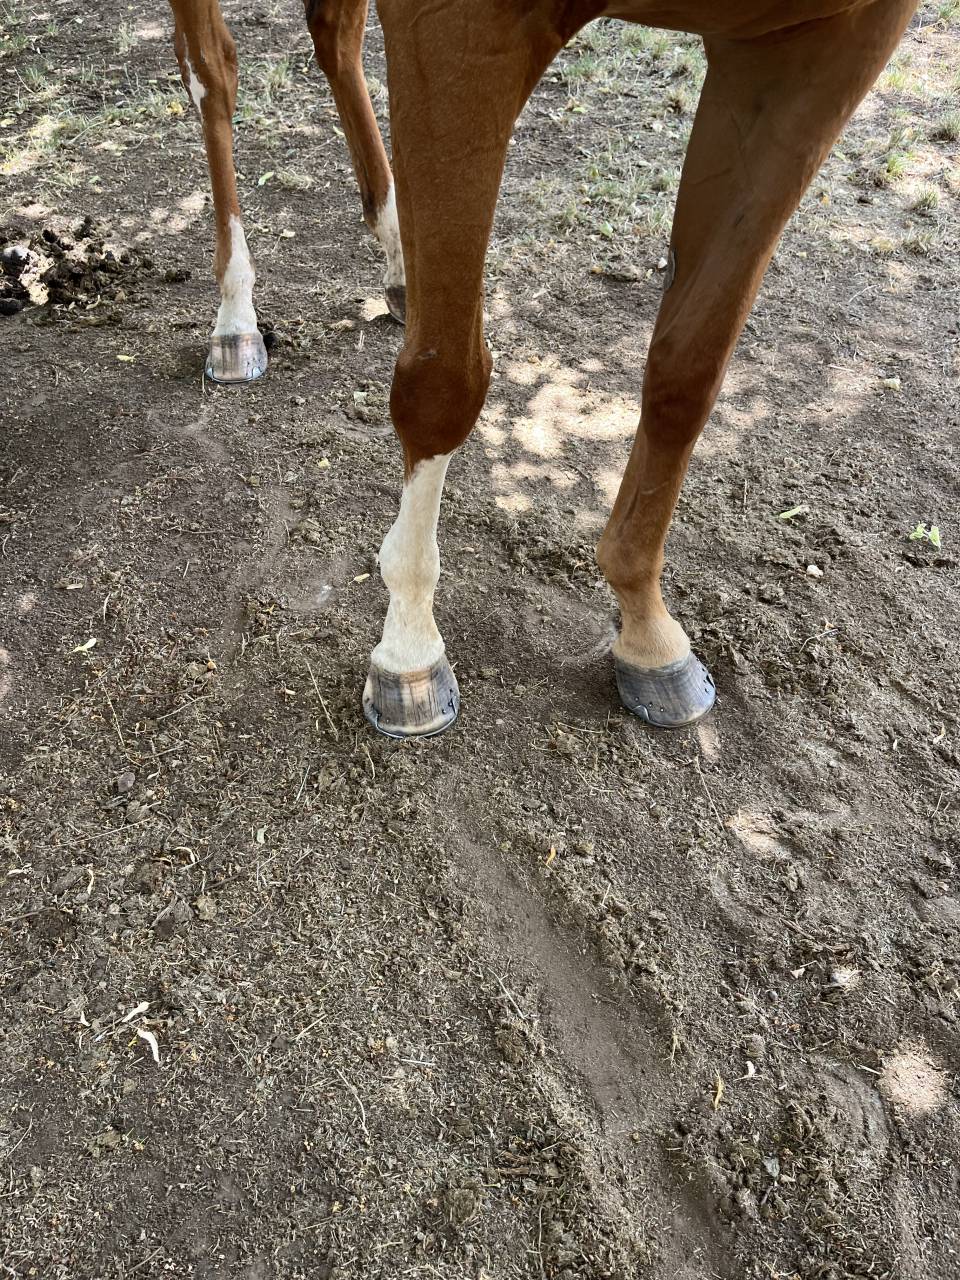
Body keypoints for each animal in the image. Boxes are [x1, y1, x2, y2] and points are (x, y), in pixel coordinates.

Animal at [167, 0, 918, 738]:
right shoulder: (461, 29)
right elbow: (443, 382)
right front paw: (410, 648)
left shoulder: (821, 46)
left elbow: (689, 370)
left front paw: (647, 626)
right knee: (213, 69)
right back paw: (236, 314)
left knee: (334, 36)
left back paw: (398, 258)